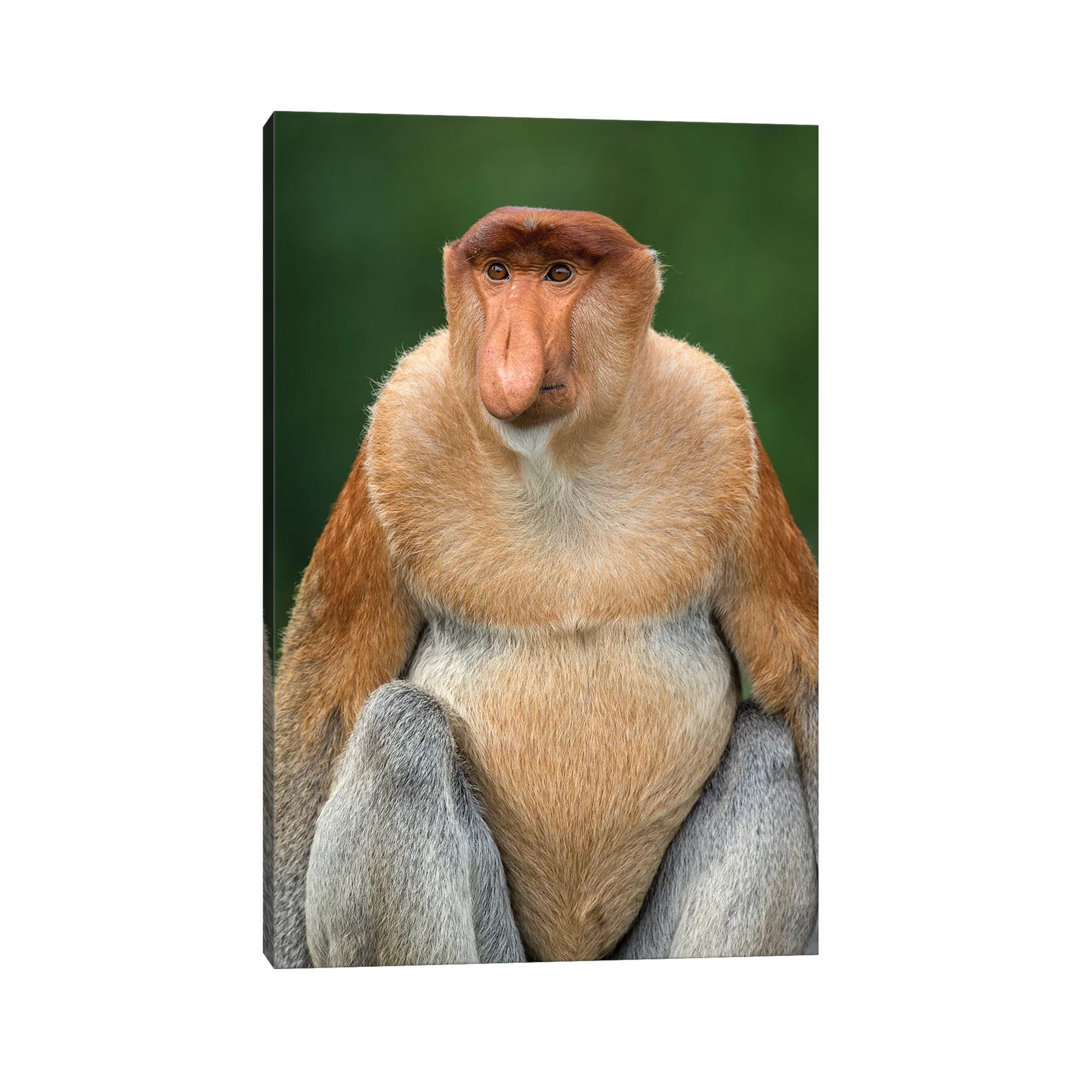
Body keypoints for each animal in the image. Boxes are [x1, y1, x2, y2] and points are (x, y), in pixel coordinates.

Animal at [268, 207, 818, 967]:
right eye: (498, 272)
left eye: (560, 274)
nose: (510, 358)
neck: (555, 461)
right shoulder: (397, 432)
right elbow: (327, 696)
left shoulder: (725, 430)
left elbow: (803, 679)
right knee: (397, 732)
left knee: (765, 748)